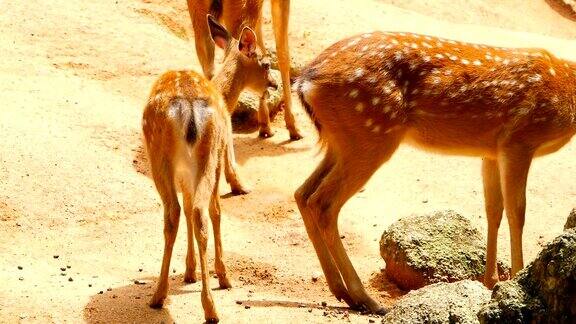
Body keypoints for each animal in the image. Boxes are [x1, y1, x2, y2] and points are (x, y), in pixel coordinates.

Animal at [143, 15, 276, 322]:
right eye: (265, 63)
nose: (274, 84)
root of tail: (189, 107)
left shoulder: (185, 175)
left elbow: (188, 210)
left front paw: (190, 272)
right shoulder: (221, 154)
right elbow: (216, 211)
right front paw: (222, 276)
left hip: (168, 160)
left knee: (178, 212)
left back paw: (161, 295)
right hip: (206, 155)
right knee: (202, 212)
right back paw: (209, 304)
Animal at [187, 0, 302, 138]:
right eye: (267, 65)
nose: (274, 85)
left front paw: (265, 126)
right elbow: (282, 53)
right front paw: (293, 128)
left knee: (207, 56)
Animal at [294, 31, 576, 312]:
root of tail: (306, 82)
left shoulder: (491, 151)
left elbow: (493, 210)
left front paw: (491, 281)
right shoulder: (519, 141)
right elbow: (517, 213)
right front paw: (517, 278)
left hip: (343, 142)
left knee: (303, 193)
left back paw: (340, 291)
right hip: (370, 136)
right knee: (323, 202)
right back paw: (365, 298)